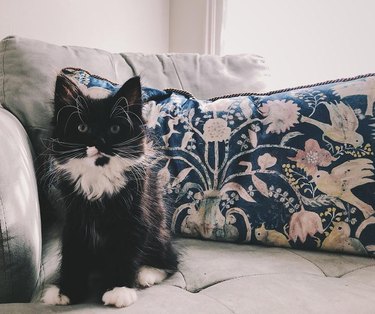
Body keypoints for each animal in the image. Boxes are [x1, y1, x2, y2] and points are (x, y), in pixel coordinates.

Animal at [40, 75, 178, 308]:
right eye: (82, 127)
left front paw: (119, 289)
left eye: (114, 129)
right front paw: (65, 291)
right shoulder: (75, 222)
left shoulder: (134, 219)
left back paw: (146, 274)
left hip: (158, 231)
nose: (99, 142)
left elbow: (124, 255)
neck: (99, 177)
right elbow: (72, 255)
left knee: (170, 261)